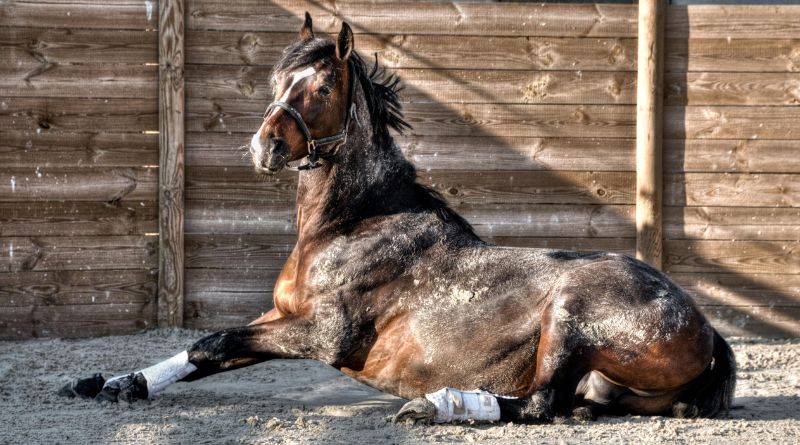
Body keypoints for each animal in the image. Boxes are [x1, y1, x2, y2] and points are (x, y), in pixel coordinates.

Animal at [65, 14, 736, 423]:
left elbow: (213, 341)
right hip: (598, 382)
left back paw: (435, 406)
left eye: (322, 88)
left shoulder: (321, 336)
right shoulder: (278, 319)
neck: (352, 225)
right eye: (278, 79)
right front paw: (115, 382)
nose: (264, 147)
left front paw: (117, 382)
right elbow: (202, 351)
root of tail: (705, 326)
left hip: (570, 315)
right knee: (566, 406)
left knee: (538, 403)